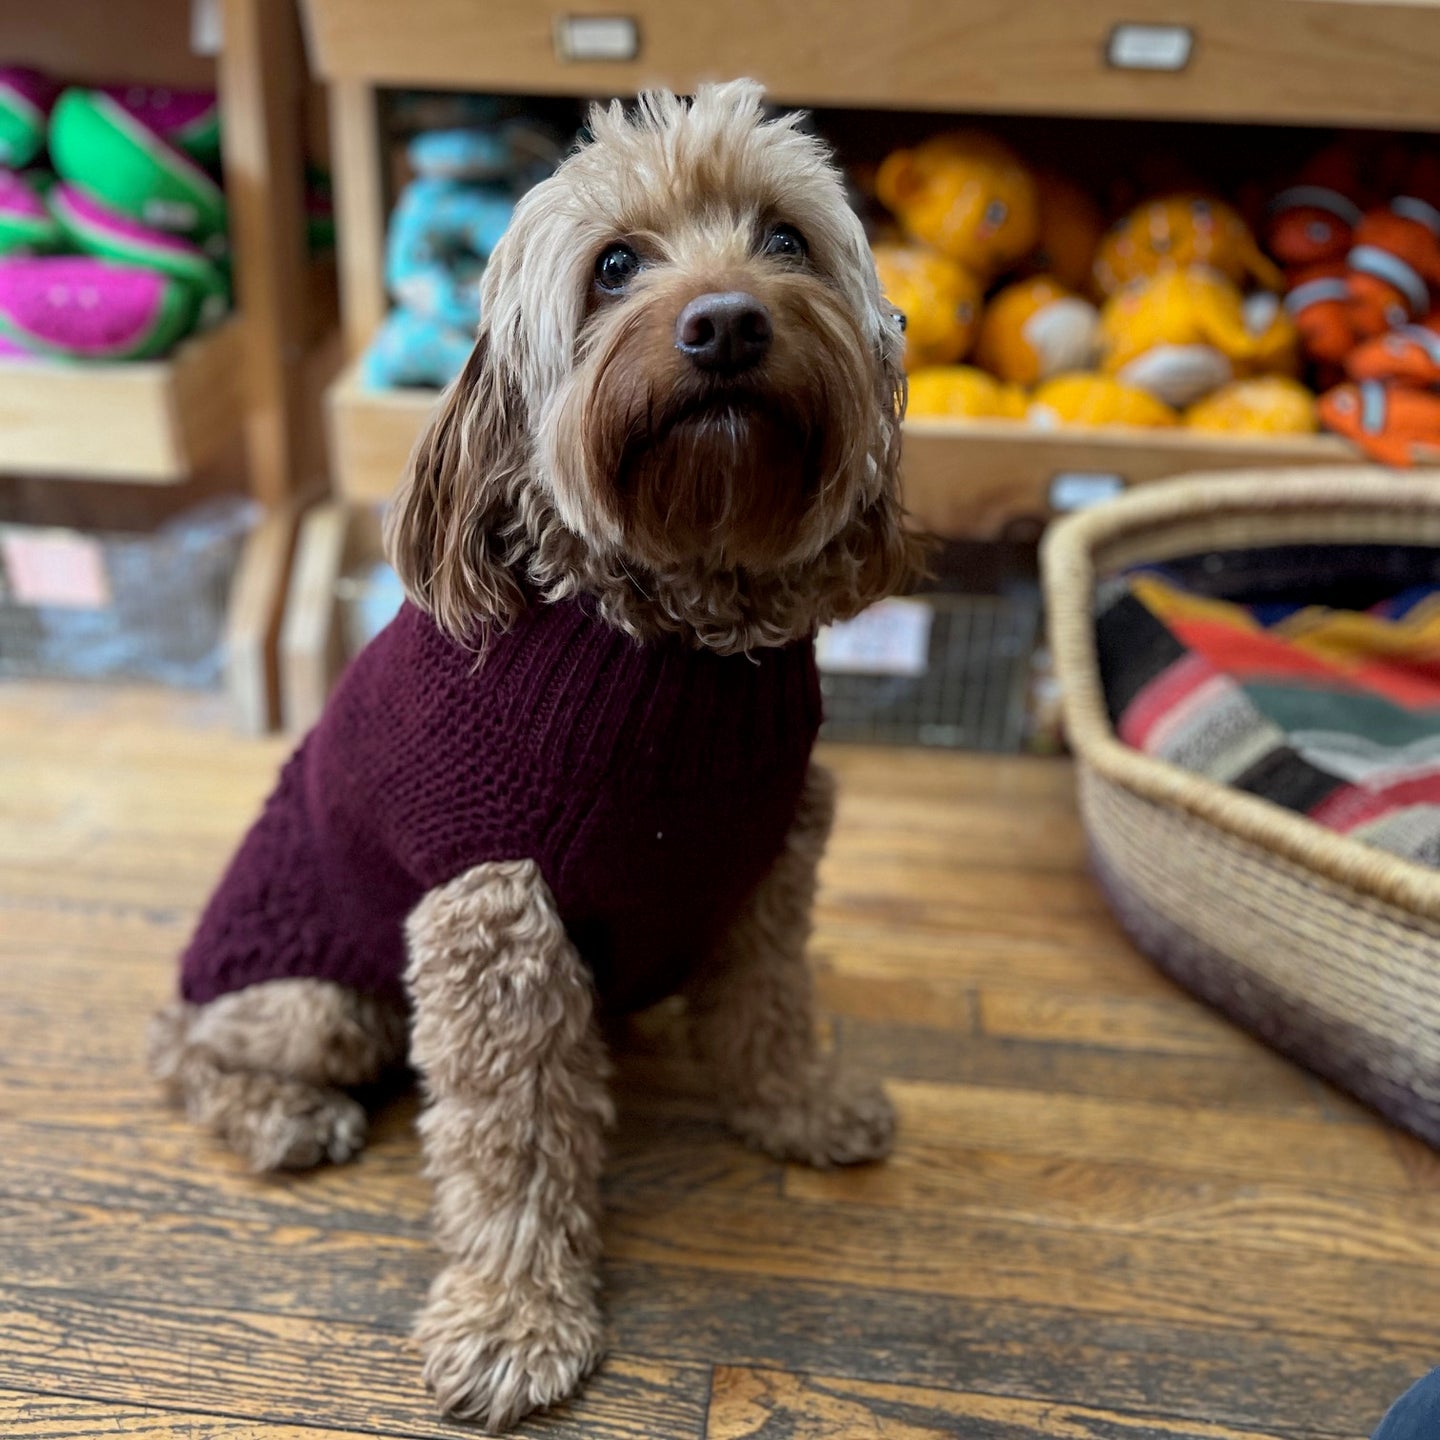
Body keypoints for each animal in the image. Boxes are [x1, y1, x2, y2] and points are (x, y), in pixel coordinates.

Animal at [151, 84, 915, 1434]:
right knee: (190, 1054)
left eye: (785, 240)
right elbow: (512, 1147)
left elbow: (770, 1008)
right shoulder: (496, 926)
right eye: (614, 265)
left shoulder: (773, 863)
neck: (676, 644)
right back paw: (283, 1115)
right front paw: (515, 1321)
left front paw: (800, 1110)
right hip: (317, 1000)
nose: (727, 324)